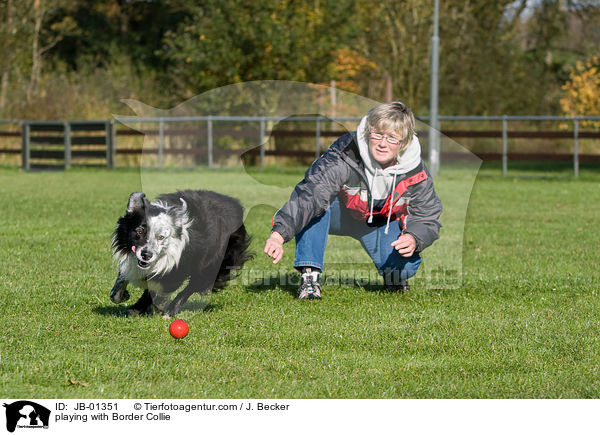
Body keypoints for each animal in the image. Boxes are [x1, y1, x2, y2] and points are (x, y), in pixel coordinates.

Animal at [109, 191, 251, 316]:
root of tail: (234, 203)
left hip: (213, 264)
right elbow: (117, 289)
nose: (146, 255)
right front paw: (125, 297)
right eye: (139, 231)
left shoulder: (176, 270)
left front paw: (148, 308)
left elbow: (159, 291)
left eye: (161, 237)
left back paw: (170, 310)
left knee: (192, 286)